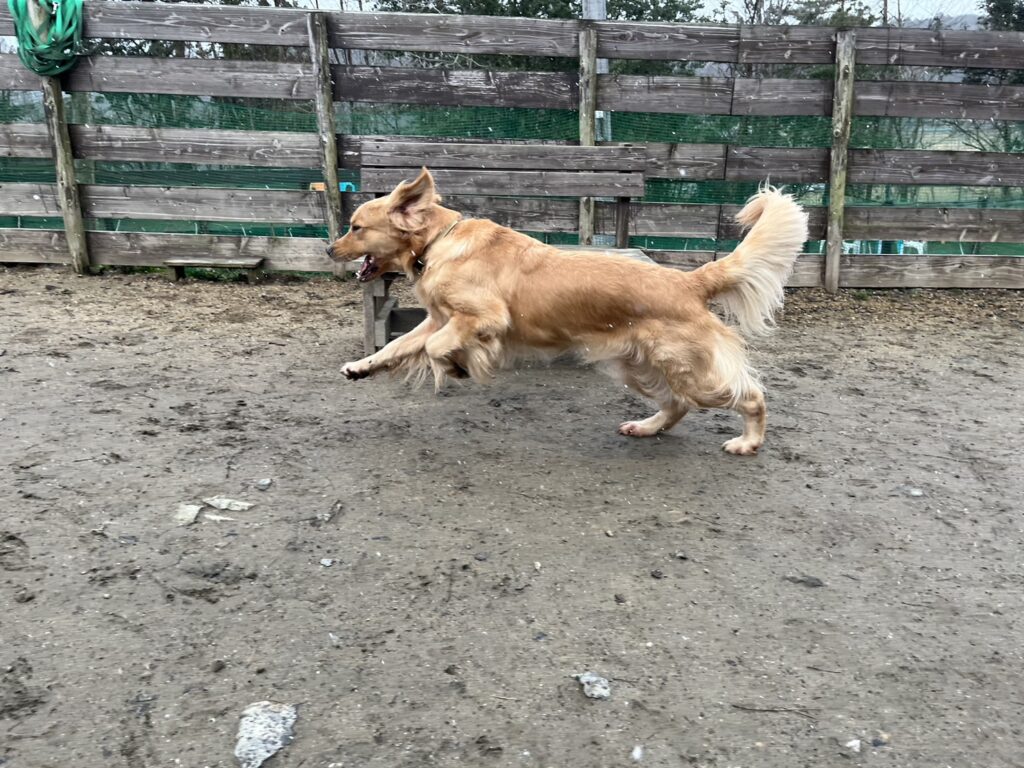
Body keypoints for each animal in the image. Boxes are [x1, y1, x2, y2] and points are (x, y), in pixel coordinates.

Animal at [327, 168, 808, 454]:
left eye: (356, 227)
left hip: (690, 369)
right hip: (640, 366)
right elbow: (399, 347)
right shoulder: (440, 319)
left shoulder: (482, 318)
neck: (439, 242)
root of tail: (688, 281)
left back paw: (747, 442)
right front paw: (360, 366)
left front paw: (457, 367)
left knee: (750, 396)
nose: (329, 248)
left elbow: (435, 349)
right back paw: (646, 427)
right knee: (677, 406)